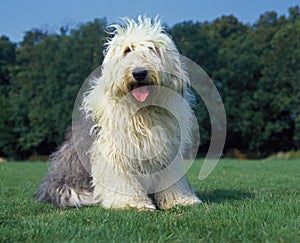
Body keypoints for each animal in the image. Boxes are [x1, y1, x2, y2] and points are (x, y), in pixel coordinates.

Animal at [36, 16, 200, 211]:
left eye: (152, 49)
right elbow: (121, 178)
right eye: (127, 50)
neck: (142, 111)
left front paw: (180, 200)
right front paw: (134, 203)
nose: (139, 73)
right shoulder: (114, 151)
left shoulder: (166, 150)